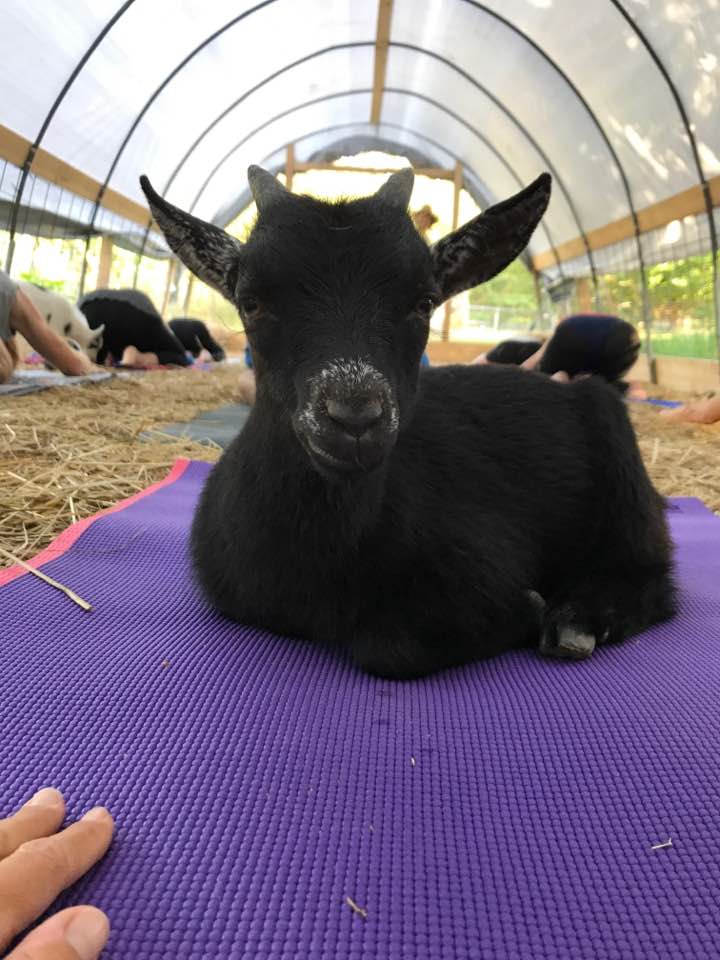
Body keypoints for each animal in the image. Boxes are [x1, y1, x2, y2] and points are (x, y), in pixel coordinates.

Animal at [141, 167, 675, 679]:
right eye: (251, 302)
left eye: (425, 302)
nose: (355, 418)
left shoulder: (484, 561)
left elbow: (388, 647)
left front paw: (529, 609)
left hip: (622, 472)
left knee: (651, 570)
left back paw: (577, 620)